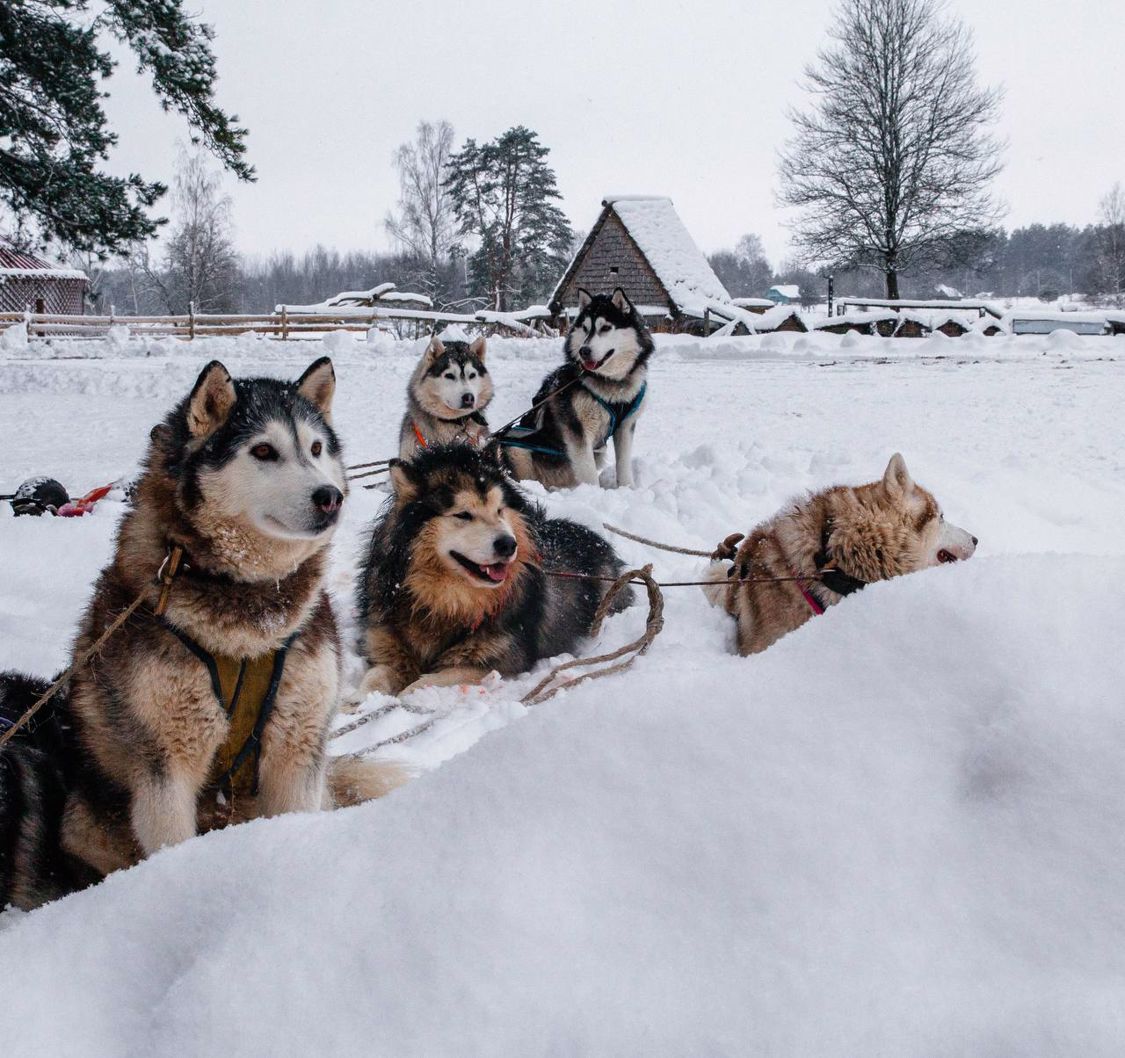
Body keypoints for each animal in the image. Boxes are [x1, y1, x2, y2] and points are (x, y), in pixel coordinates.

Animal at [0, 357, 402, 909]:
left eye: (317, 449)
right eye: (263, 451)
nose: (331, 497)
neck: (250, 620)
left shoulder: (298, 748)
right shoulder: (166, 767)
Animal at [355, 441, 630, 697]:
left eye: (499, 510)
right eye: (463, 515)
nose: (509, 544)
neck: (446, 601)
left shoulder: (498, 662)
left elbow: (424, 684)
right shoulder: (386, 643)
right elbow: (378, 675)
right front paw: (358, 700)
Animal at [501, 287, 652, 490]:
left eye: (605, 328)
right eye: (586, 328)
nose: (584, 351)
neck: (611, 383)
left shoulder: (625, 426)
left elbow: (624, 465)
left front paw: (627, 489)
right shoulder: (578, 432)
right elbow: (589, 473)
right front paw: (594, 494)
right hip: (515, 447)